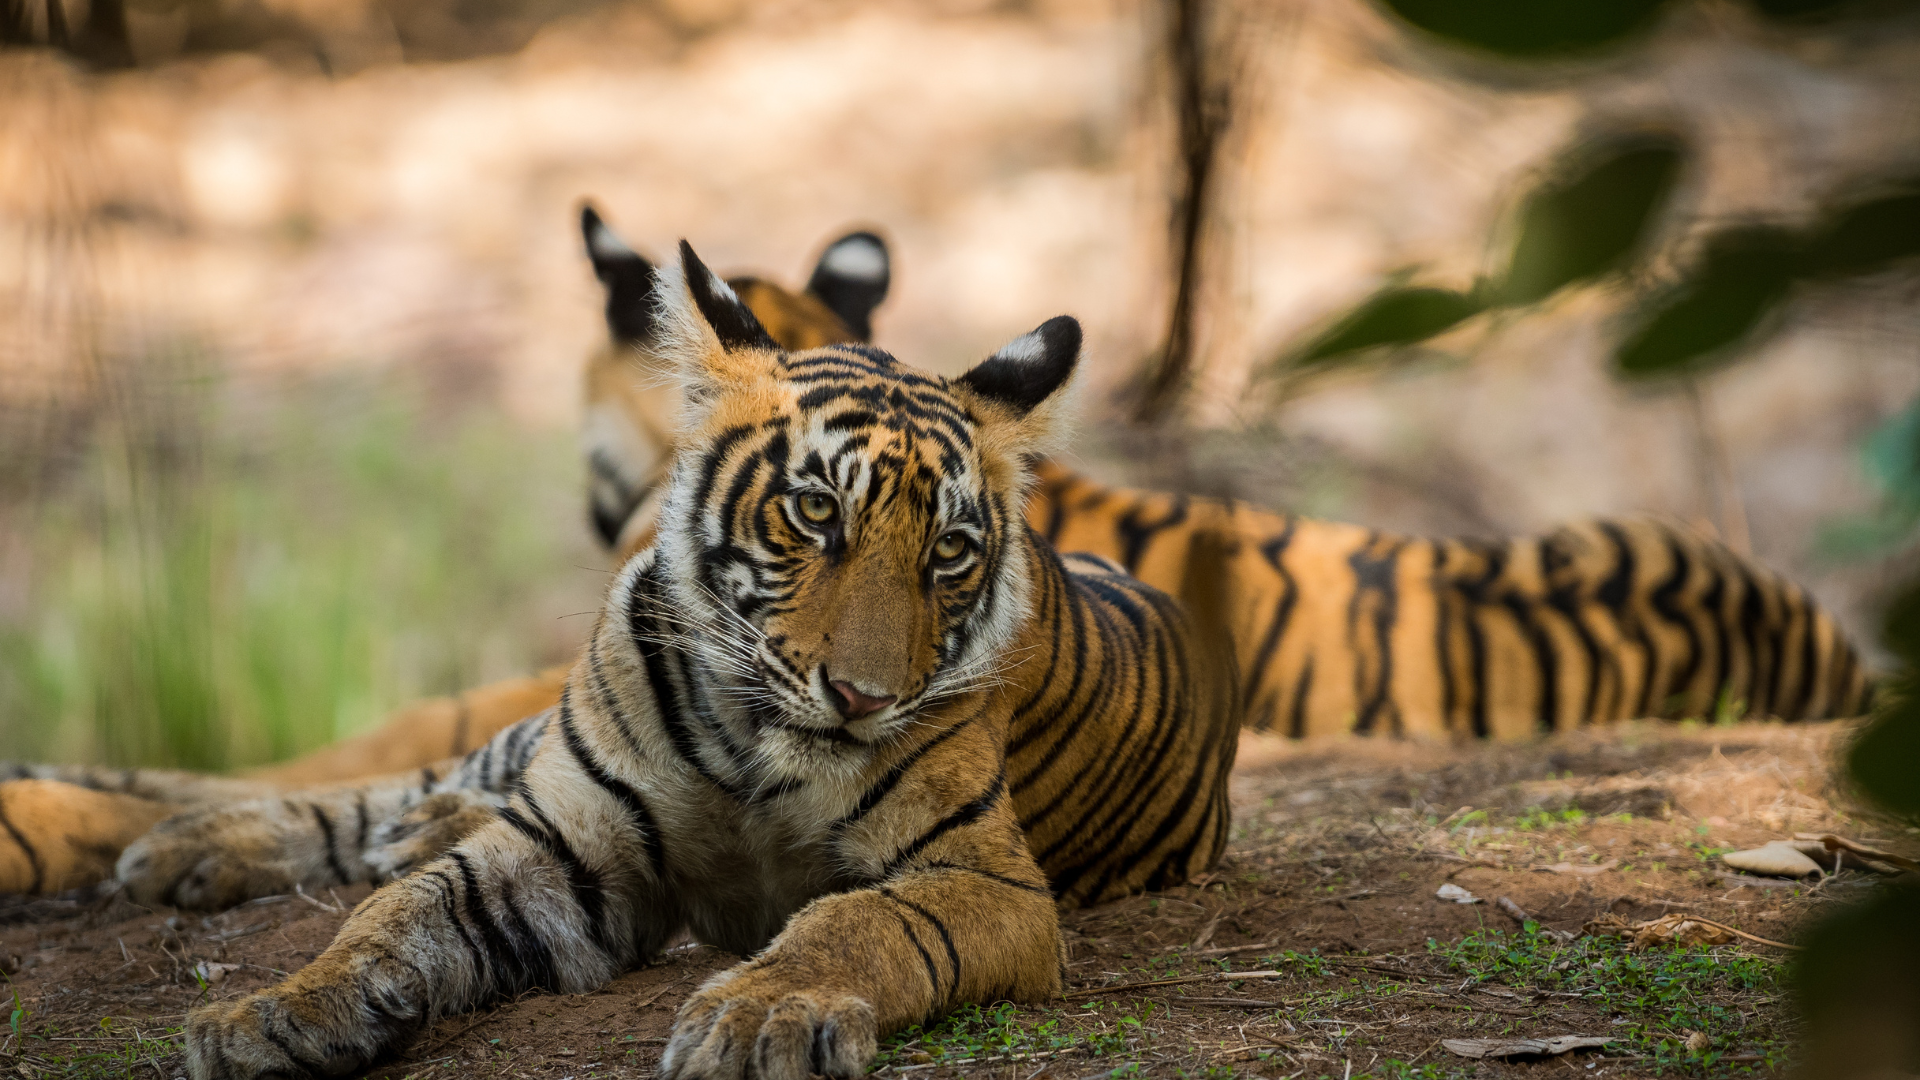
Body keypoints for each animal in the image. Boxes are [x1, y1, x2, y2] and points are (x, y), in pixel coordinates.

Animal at [176, 237, 1228, 1076]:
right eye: (816, 511)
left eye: (950, 552)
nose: (862, 697)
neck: (752, 747)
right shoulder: (564, 847)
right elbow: (393, 916)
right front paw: (269, 1014)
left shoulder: (983, 879)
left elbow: (858, 920)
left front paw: (764, 1012)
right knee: (420, 783)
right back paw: (200, 845)